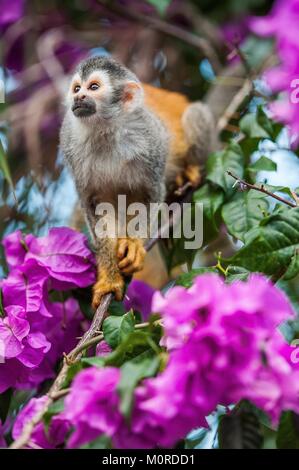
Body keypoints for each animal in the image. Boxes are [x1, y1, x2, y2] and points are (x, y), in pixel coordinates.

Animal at [60, 57, 216, 308]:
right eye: (76, 88)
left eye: (93, 87)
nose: (78, 97)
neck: (106, 130)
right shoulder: (70, 145)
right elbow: (94, 205)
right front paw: (109, 276)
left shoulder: (151, 142)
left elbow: (151, 193)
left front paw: (133, 244)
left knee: (195, 114)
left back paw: (187, 173)